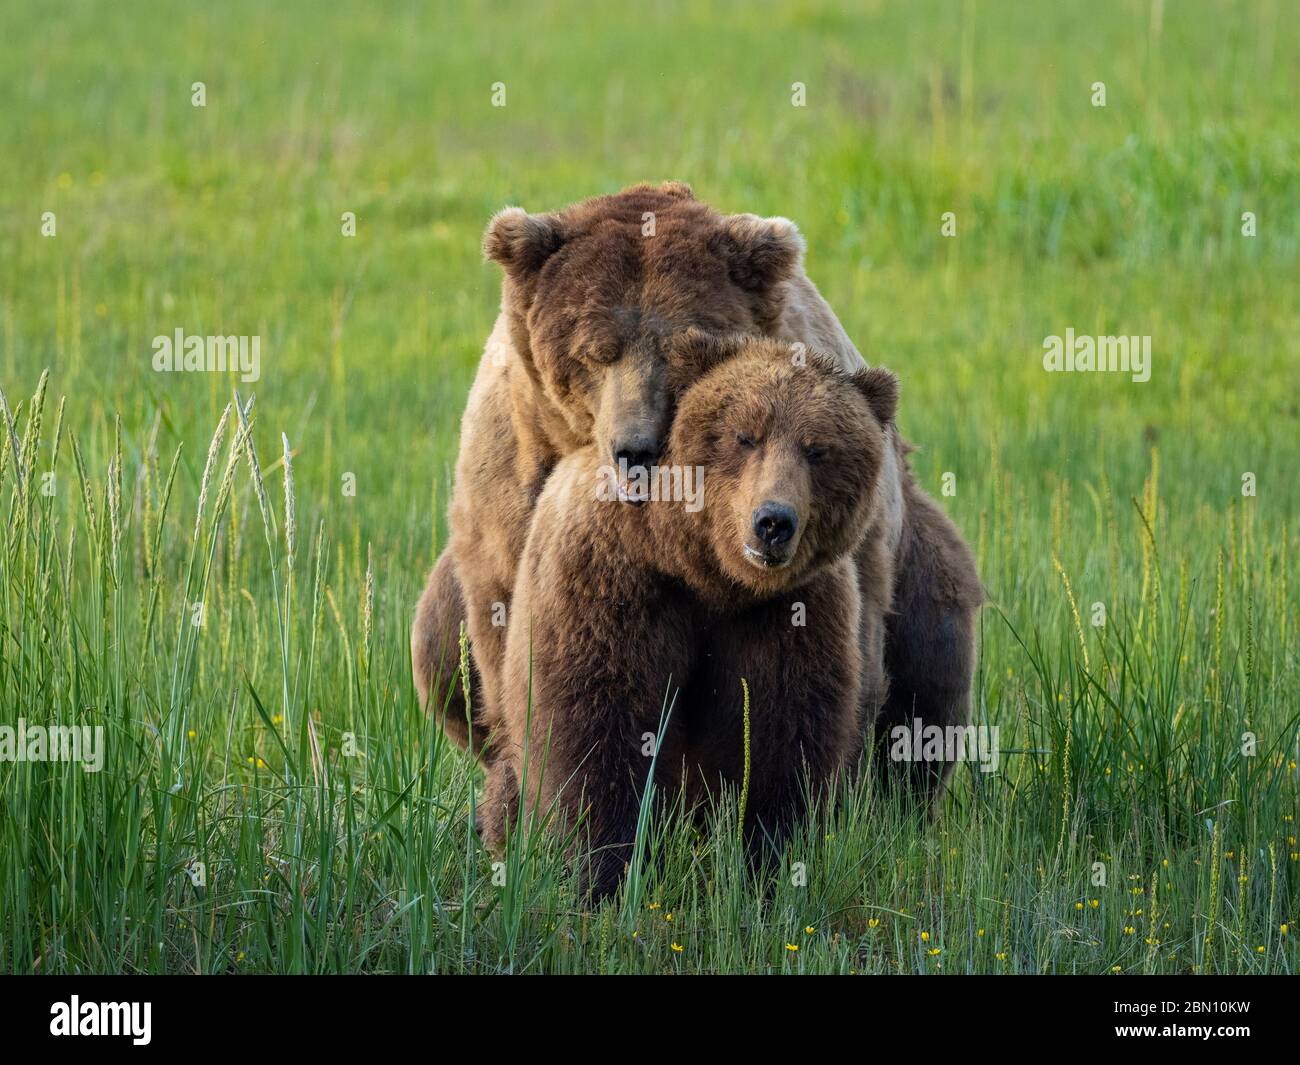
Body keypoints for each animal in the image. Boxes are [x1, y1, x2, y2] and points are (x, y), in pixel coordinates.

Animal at [483, 338, 899, 905]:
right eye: (745, 436)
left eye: (818, 449)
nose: (773, 522)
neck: (704, 573)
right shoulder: (612, 579)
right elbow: (595, 727)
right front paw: (608, 874)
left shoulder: (787, 615)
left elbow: (777, 737)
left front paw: (766, 867)